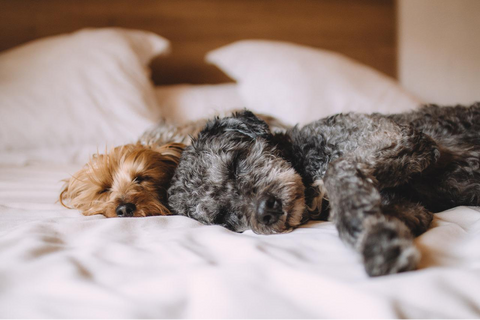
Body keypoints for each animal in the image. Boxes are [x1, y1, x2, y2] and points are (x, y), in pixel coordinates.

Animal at [168, 104, 480, 276]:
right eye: (224, 217)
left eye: (234, 164)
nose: (266, 211)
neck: (306, 158)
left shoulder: (399, 136)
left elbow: (337, 171)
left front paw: (377, 243)